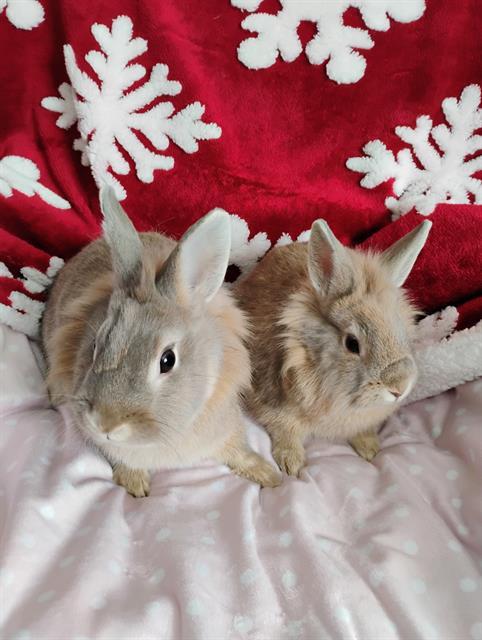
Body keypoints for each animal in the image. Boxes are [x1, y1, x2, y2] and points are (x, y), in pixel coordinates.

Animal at [41, 187, 280, 496]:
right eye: (94, 345)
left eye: (168, 360)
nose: (105, 423)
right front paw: (136, 486)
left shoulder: (226, 430)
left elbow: (240, 451)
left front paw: (270, 476)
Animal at [234, 218, 432, 476]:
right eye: (352, 344)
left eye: (404, 333)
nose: (399, 388)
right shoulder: (274, 404)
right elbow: (285, 432)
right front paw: (292, 464)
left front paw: (370, 449)